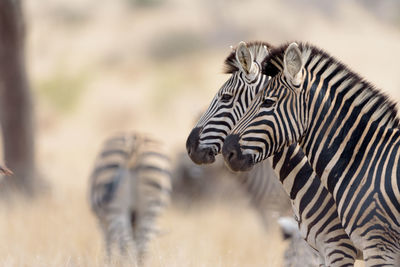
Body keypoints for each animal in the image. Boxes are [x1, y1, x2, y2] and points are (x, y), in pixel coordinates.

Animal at [89, 134, 172, 266]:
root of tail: (135, 143)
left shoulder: (102, 223)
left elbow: (108, 246)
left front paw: (108, 262)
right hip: (150, 208)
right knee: (142, 247)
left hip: (116, 209)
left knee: (126, 245)